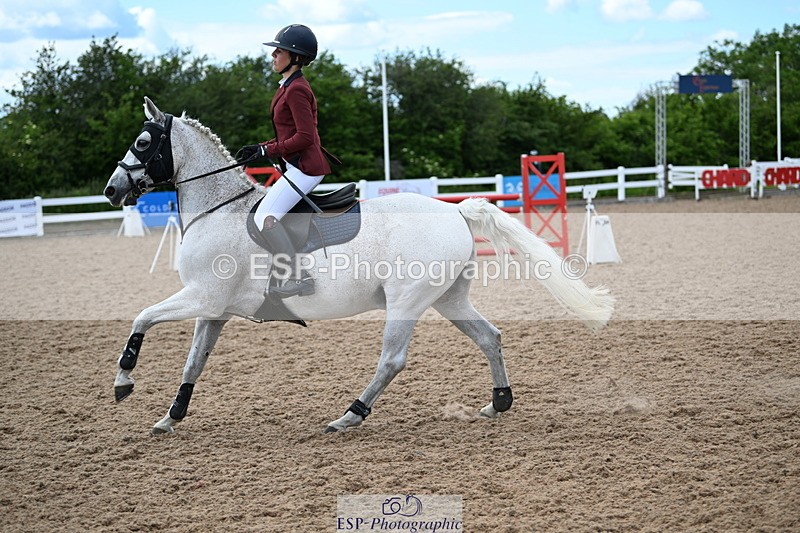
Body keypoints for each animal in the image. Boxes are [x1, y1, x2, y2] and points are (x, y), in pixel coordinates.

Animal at [104, 96, 614, 435]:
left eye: (144, 141)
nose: (111, 190)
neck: (218, 210)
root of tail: (453, 211)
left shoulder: (201, 296)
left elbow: (142, 317)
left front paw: (124, 381)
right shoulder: (213, 308)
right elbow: (194, 361)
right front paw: (170, 417)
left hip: (405, 301)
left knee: (392, 359)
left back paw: (350, 414)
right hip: (448, 299)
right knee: (490, 337)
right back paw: (498, 404)